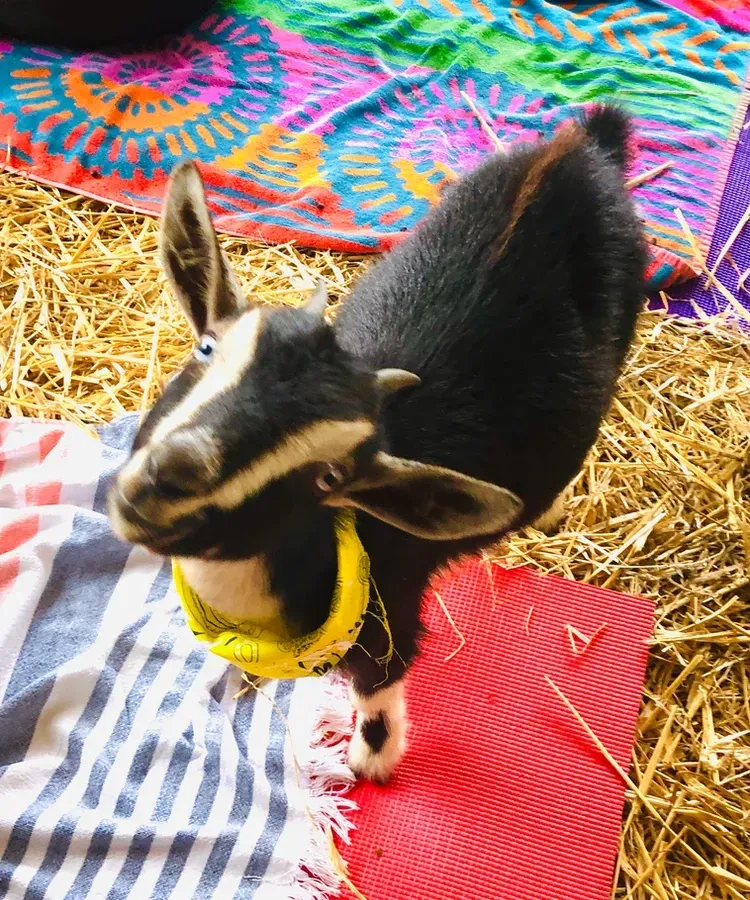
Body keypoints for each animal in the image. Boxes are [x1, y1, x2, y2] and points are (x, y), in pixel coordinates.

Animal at [109, 105, 646, 782]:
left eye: (329, 477)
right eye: (207, 347)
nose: (167, 477)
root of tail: (579, 150)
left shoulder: (389, 615)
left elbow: (378, 685)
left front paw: (373, 758)